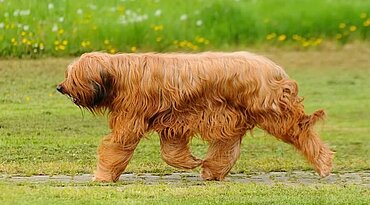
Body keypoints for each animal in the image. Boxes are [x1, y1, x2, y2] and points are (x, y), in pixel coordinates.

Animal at [56, 51, 334, 183]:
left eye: (73, 76)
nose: (60, 87)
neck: (119, 74)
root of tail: (274, 68)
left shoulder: (132, 118)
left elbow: (116, 146)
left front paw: (102, 176)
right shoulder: (174, 123)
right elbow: (172, 151)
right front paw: (191, 162)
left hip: (273, 113)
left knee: (301, 131)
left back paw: (323, 164)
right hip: (232, 117)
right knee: (226, 147)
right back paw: (212, 170)